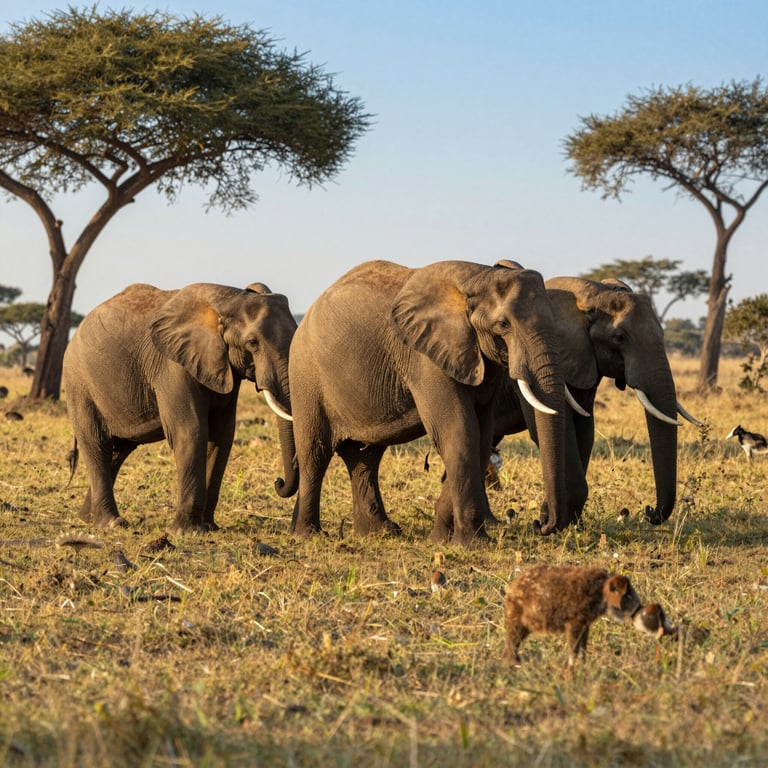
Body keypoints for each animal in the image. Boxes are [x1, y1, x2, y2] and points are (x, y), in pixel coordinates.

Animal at [63, 281, 297, 534]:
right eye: (253, 343)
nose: (278, 481)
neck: (229, 298)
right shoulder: (173, 366)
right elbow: (191, 431)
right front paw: (186, 532)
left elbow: (221, 436)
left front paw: (208, 527)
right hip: (80, 385)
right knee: (98, 443)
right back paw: (111, 523)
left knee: (119, 449)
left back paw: (87, 518)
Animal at [287, 259, 570, 546]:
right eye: (503, 324)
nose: (540, 524)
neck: (480, 276)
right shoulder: (426, 360)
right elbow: (459, 432)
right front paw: (472, 544)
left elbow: (481, 437)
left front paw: (441, 539)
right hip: (306, 377)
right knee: (315, 452)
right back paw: (307, 534)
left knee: (365, 457)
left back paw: (379, 532)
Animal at [490, 275, 702, 531]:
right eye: (619, 338)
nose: (649, 511)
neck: (592, 296)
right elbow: (561, 432)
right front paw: (555, 523)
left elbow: (585, 432)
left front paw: (568, 522)